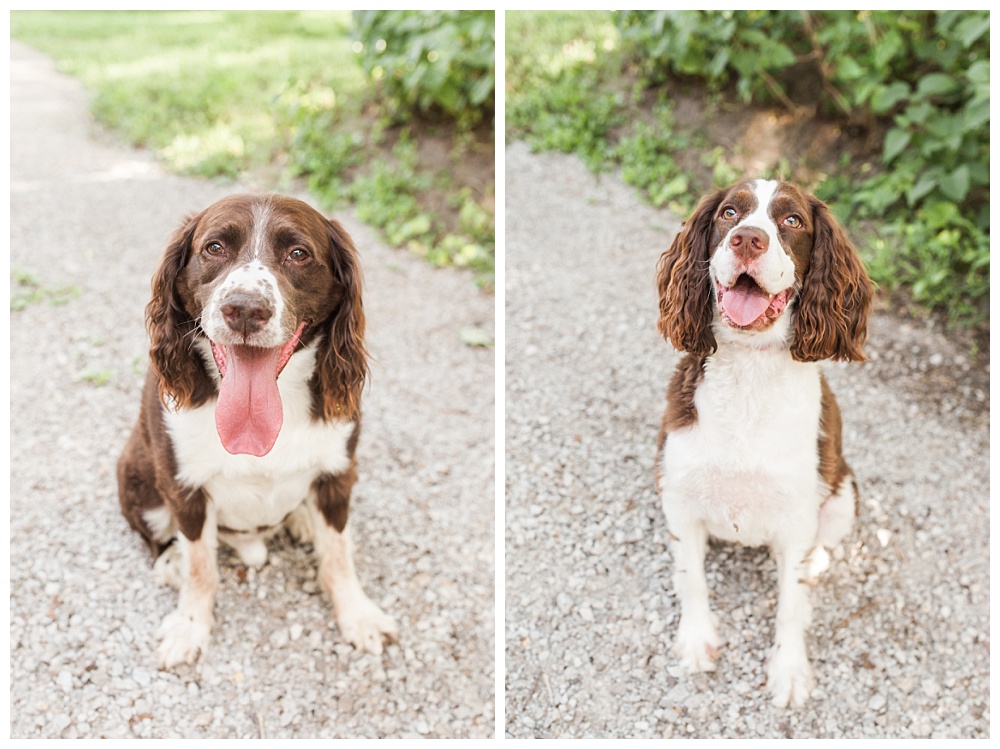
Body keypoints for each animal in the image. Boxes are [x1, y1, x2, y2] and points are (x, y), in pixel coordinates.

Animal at [117, 193, 398, 668]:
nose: (246, 309)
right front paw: (190, 627)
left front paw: (357, 615)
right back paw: (170, 562)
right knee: (157, 534)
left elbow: (338, 555)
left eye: (298, 254)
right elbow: (200, 566)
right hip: (133, 469)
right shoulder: (183, 486)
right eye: (214, 248)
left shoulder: (339, 473)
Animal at [652, 178, 872, 704]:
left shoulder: (798, 514)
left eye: (792, 221)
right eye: (730, 213)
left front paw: (789, 672)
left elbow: (791, 602)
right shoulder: (679, 495)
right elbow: (691, 577)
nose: (748, 239)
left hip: (844, 491)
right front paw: (696, 642)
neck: (749, 374)